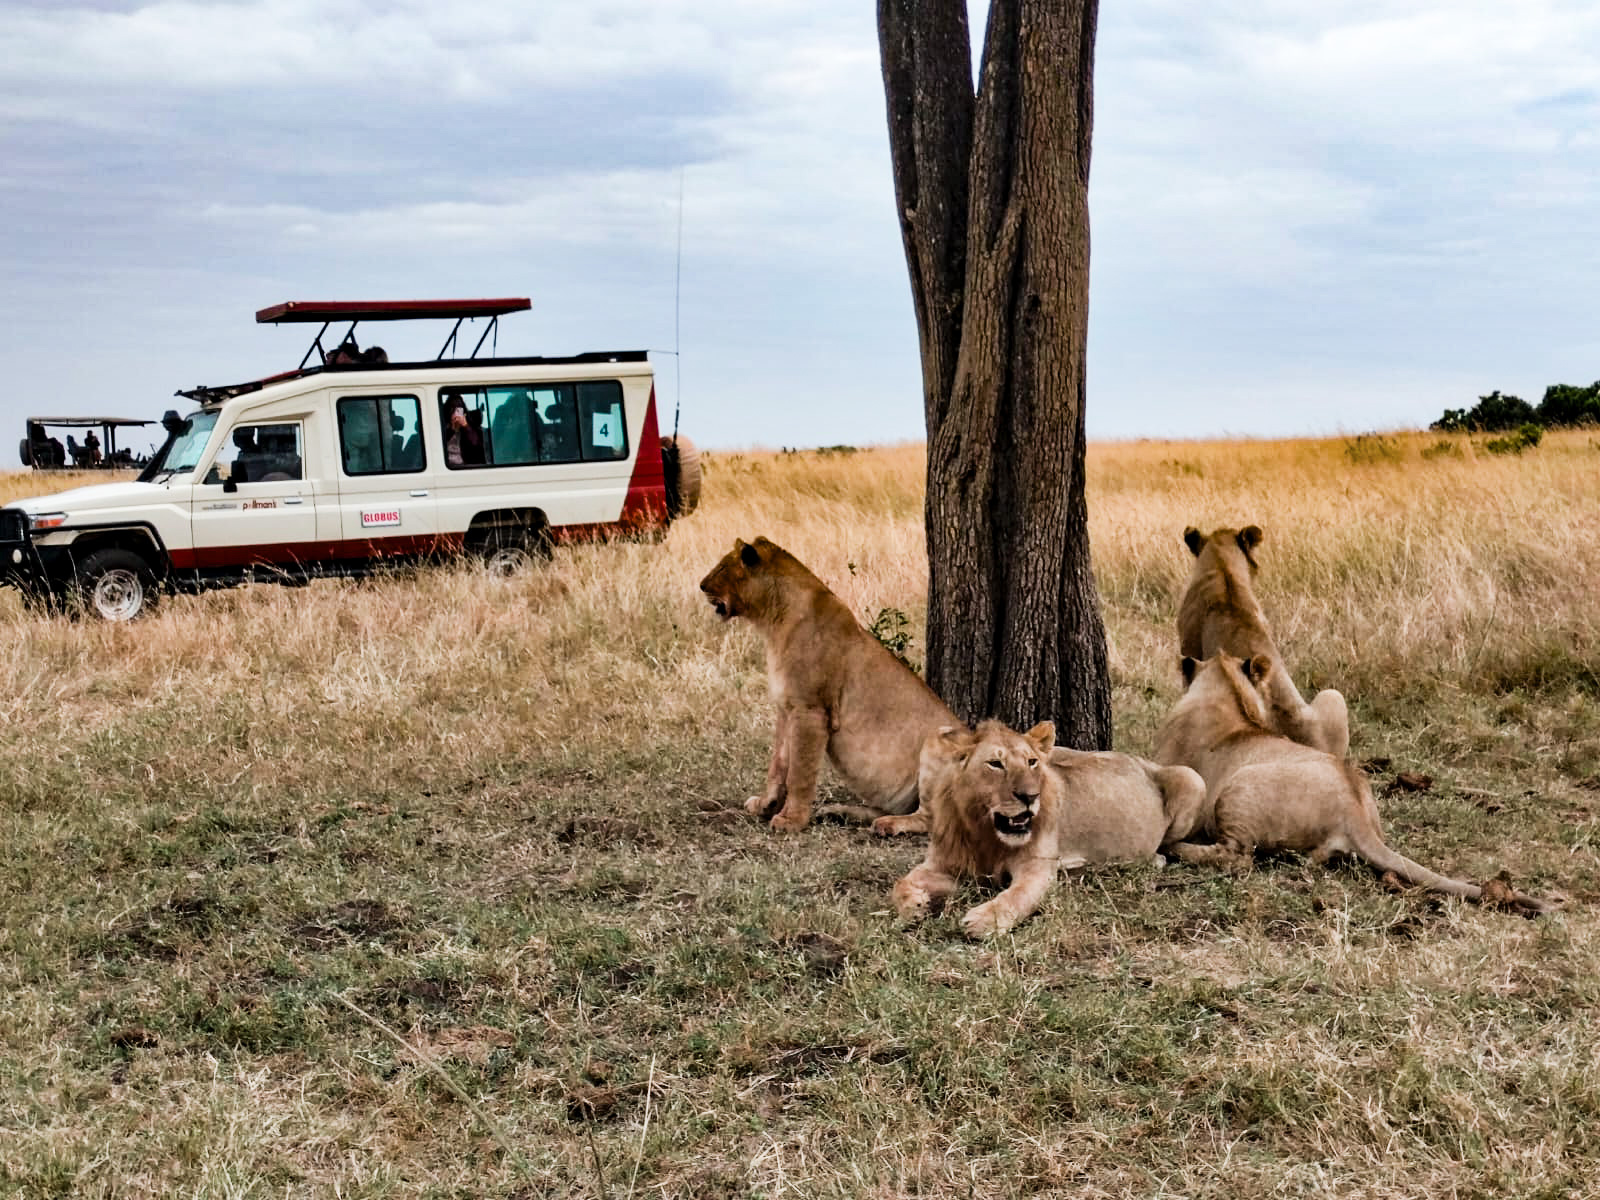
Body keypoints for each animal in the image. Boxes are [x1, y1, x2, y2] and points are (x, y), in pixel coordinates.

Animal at [697, 537, 947, 832]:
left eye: (722, 567)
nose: (701, 585)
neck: (773, 621)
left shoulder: (811, 710)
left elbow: (799, 771)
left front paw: (791, 819)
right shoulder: (786, 707)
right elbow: (778, 763)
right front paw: (766, 804)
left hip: (940, 745)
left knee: (931, 817)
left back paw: (888, 825)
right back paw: (840, 812)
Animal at [896, 713, 1203, 940]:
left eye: (1032, 762)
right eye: (995, 764)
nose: (1030, 796)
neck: (985, 834)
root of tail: (1141, 760)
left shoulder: (1037, 867)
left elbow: (1016, 896)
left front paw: (983, 921)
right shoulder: (942, 863)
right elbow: (900, 883)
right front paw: (914, 905)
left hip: (1192, 777)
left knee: (1168, 847)